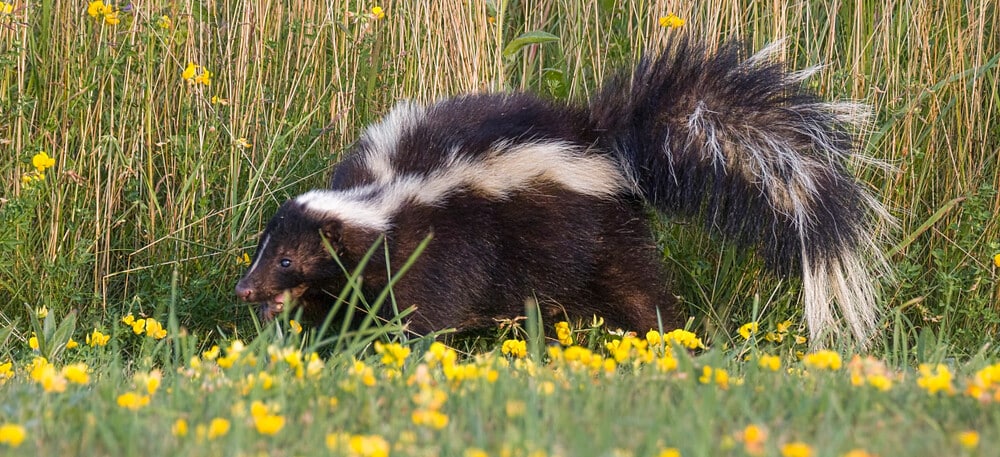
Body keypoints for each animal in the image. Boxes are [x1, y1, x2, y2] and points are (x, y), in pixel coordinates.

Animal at [234, 39, 892, 344]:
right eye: (265, 251)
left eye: (287, 258)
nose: (245, 289)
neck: (384, 199)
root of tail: (601, 141)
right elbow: (341, 303)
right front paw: (305, 329)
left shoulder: (440, 242)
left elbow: (424, 308)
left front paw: (393, 346)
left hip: (597, 231)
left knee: (634, 288)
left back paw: (669, 338)